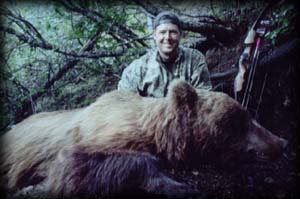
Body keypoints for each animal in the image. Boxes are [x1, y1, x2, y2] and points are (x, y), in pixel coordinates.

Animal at [0, 79, 288, 197]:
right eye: (241, 120)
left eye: (249, 115)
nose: (281, 143)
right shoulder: (100, 132)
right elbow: (72, 163)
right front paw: (179, 186)